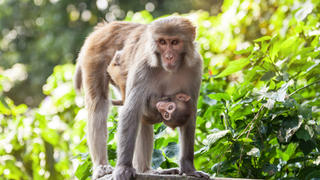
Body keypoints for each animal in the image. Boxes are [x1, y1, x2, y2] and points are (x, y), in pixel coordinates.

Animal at [74, 16, 208, 179]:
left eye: (175, 42)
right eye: (162, 42)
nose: (169, 56)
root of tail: (104, 28)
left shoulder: (195, 67)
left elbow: (190, 114)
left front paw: (189, 169)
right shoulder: (144, 66)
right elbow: (130, 112)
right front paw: (123, 168)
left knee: (142, 118)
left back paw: (146, 170)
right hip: (94, 56)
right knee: (99, 105)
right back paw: (102, 166)